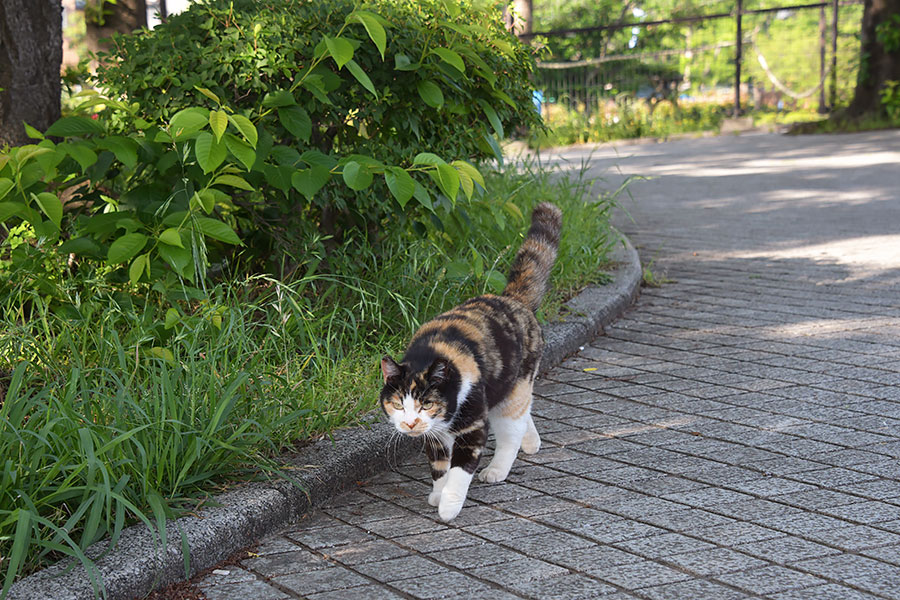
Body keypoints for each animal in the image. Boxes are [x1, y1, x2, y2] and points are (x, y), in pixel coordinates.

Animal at [376, 202, 560, 520]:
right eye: (398, 404)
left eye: (427, 403)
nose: (411, 423)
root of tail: (513, 299)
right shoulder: (435, 437)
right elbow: (439, 467)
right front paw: (437, 493)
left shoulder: (472, 426)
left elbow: (459, 471)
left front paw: (449, 506)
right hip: (506, 389)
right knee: (524, 411)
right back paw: (532, 441)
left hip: (512, 389)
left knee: (511, 430)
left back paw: (498, 469)